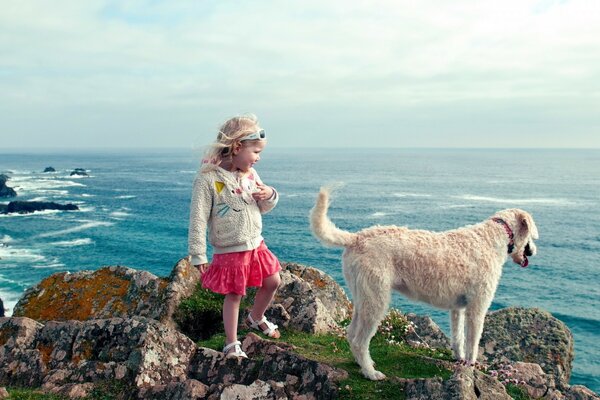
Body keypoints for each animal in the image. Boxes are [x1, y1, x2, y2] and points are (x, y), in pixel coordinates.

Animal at [310, 186, 540, 380]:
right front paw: (471, 367)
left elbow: (458, 337)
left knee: (351, 334)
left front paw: (459, 359)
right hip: (376, 299)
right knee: (359, 341)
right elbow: (473, 342)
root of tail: (356, 238)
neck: (493, 237)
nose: (534, 251)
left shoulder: (458, 307)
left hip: (363, 296)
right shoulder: (477, 307)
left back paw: (364, 364)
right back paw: (370, 373)